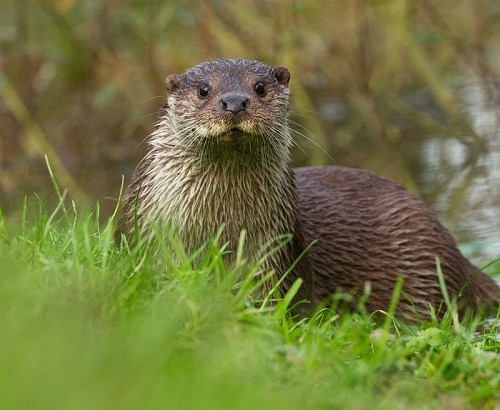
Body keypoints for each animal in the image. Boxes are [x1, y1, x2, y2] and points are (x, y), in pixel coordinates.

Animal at [116, 58, 496, 320]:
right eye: (204, 89)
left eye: (259, 87)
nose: (234, 102)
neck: (219, 228)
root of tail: (455, 252)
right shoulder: (150, 237)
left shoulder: (274, 252)